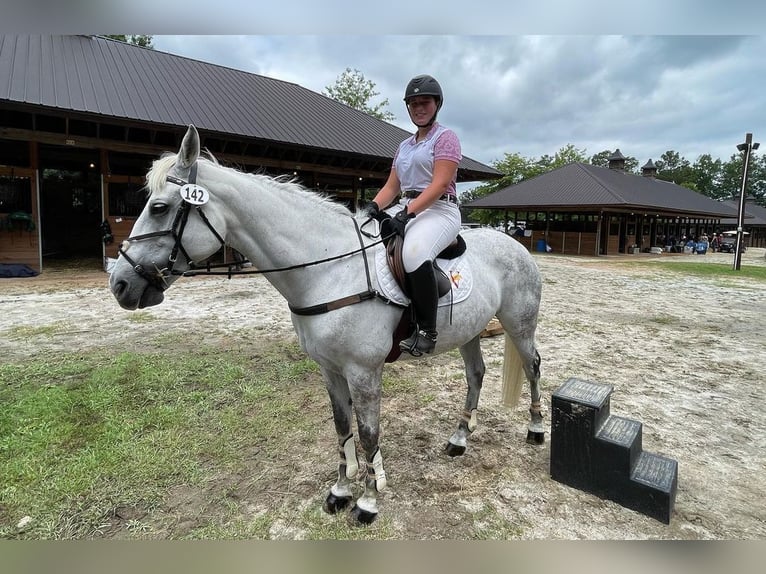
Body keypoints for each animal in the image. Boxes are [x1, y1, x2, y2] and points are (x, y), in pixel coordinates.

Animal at [109, 125, 544, 525]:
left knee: (533, 367)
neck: (330, 270)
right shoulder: (330, 369)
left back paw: (536, 430)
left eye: (159, 208)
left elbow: (368, 434)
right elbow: (341, 427)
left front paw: (367, 502)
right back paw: (458, 440)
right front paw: (339, 492)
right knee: (476, 374)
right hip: (469, 332)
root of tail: (515, 244)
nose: (120, 284)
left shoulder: (364, 372)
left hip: (519, 326)